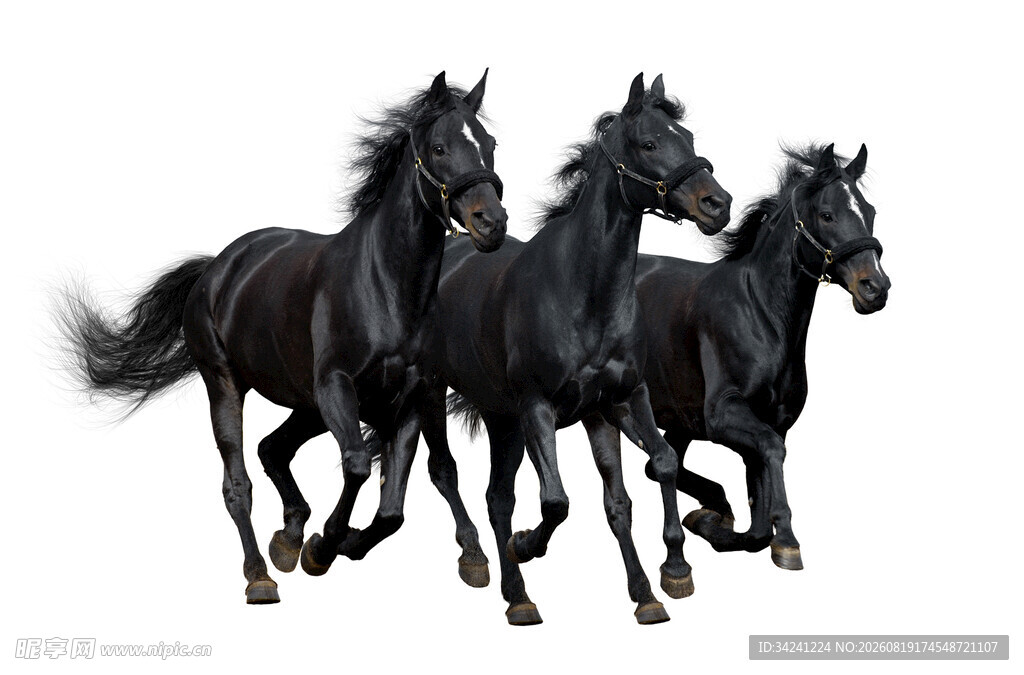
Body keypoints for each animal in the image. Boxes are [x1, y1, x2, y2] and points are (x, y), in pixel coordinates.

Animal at [55, 71, 507, 604]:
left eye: (490, 145)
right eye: (439, 147)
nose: (491, 223)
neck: (385, 286)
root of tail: (217, 267)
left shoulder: (411, 398)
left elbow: (393, 508)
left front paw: (335, 544)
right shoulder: (337, 388)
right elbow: (358, 465)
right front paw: (323, 547)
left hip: (306, 404)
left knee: (273, 449)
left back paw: (288, 539)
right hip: (227, 385)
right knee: (238, 483)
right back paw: (260, 574)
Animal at [420, 73, 732, 624]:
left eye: (688, 137)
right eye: (649, 143)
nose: (718, 205)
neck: (584, 294)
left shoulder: (617, 402)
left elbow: (646, 478)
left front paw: (661, 582)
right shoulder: (538, 408)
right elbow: (556, 502)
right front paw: (527, 544)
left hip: (502, 418)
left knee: (497, 497)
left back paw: (517, 595)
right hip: (440, 395)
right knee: (448, 473)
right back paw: (483, 563)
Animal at [635, 143, 890, 570]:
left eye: (869, 212)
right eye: (827, 214)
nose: (875, 287)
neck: (760, 314)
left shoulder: (771, 421)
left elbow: (756, 522)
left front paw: (715, 523)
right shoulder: (724, 415)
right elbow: (771, 454)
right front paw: (786, 539)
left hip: (679, 419)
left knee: (661, 466)